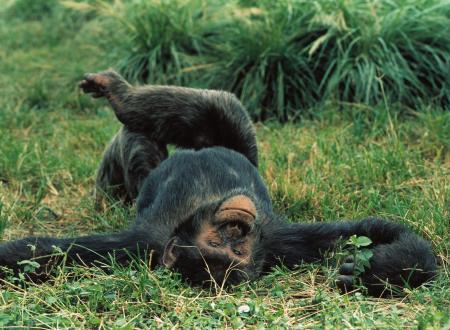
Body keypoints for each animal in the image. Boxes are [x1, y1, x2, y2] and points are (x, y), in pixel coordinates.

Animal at [0, 69, 436, 296]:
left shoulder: (284, 241)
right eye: (219, 241)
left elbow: (373, 231)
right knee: (162, 121)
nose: (238, 226)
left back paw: (118, 94)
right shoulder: (134, 245)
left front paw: (371, 272)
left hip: (234, 135)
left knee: (184, 113)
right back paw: (118, 95)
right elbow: (40, 254)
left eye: (236, 247)